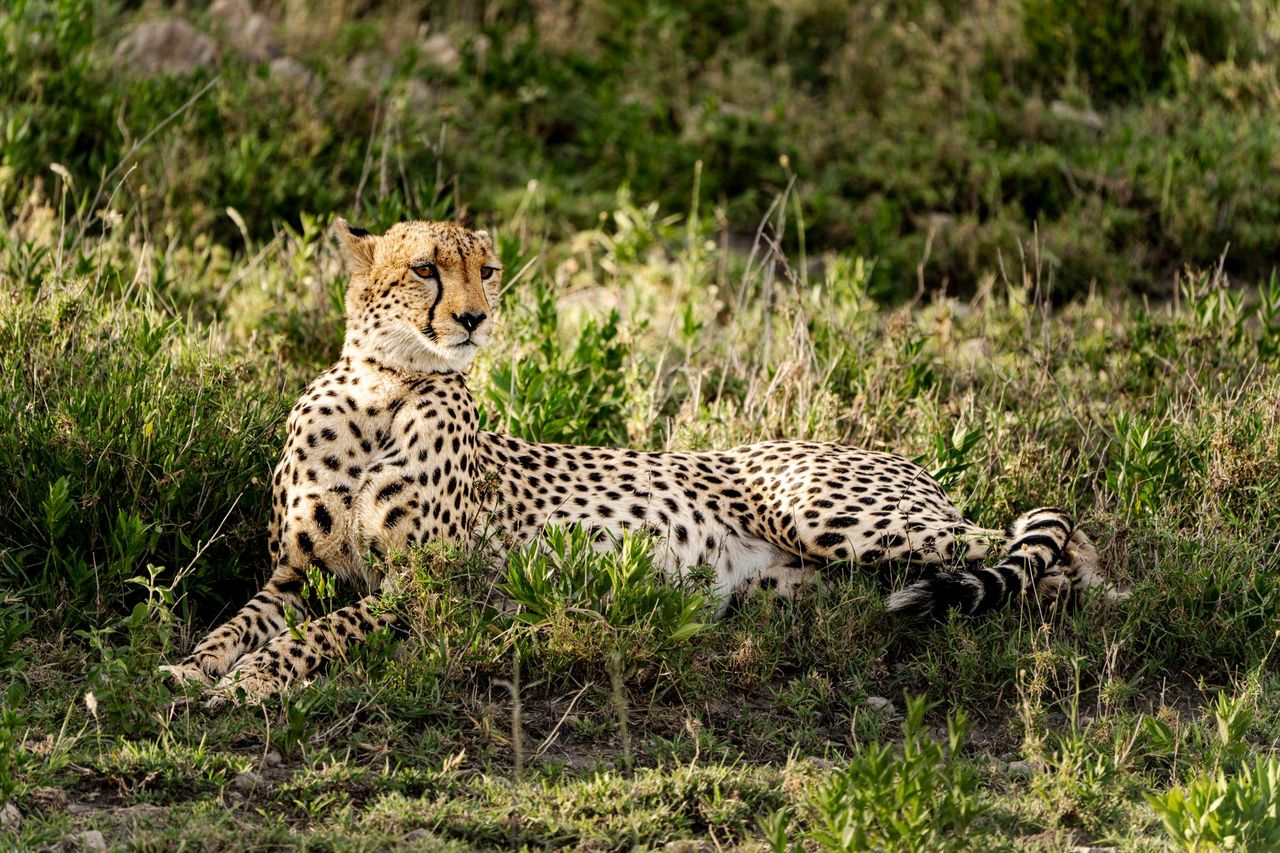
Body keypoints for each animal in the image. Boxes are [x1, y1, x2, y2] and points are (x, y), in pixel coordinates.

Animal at [162, 218, 1113, 704]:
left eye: (488, 269)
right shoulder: (296, 574)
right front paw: (194, 664)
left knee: (1034, 534)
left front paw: (255, 681)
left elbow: (320, 633)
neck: (383, 389)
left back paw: (1081, 591)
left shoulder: (430, 588)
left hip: (834, 514)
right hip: (802, 583)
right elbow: (242, 621)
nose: (473, 318)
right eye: (427, 268)